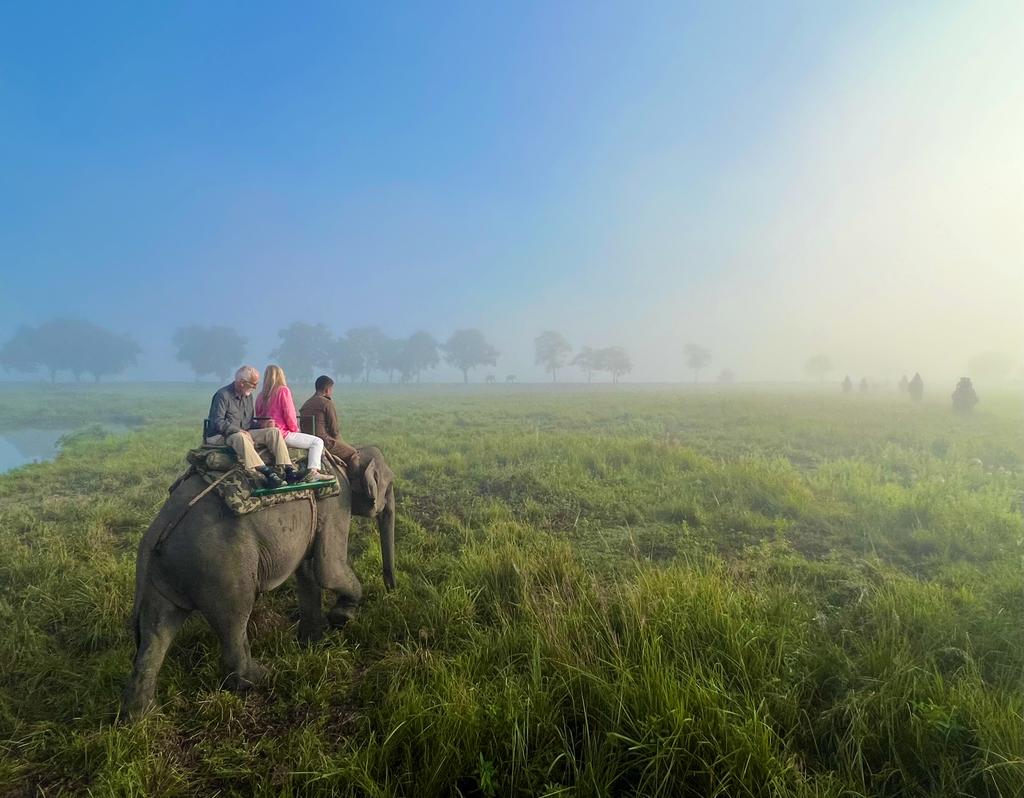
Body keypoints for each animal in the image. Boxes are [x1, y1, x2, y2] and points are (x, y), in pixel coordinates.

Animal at [117, 446, 393, 721]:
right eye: (389, 485)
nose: (392, 590)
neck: (343, 457)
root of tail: (157, 531)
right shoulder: (337, 503)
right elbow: (328, 570)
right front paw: (341, 618)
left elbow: (307, 571)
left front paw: (313, 641)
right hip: (222, 568)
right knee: (234, 617)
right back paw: (260, 676)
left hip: (165, 575)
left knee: (156, 631)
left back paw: (141, 716)